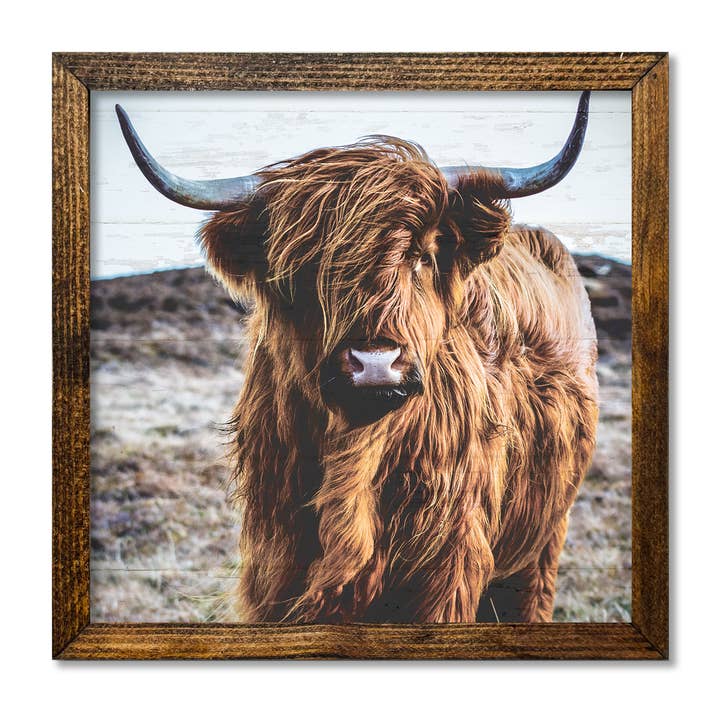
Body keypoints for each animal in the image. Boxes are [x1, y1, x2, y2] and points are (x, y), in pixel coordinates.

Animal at [116, 92, 598, 623]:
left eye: (422, 256)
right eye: (302, 269)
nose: (375, 362)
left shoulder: (449, 566)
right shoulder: (275, 560)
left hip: (546, 536)